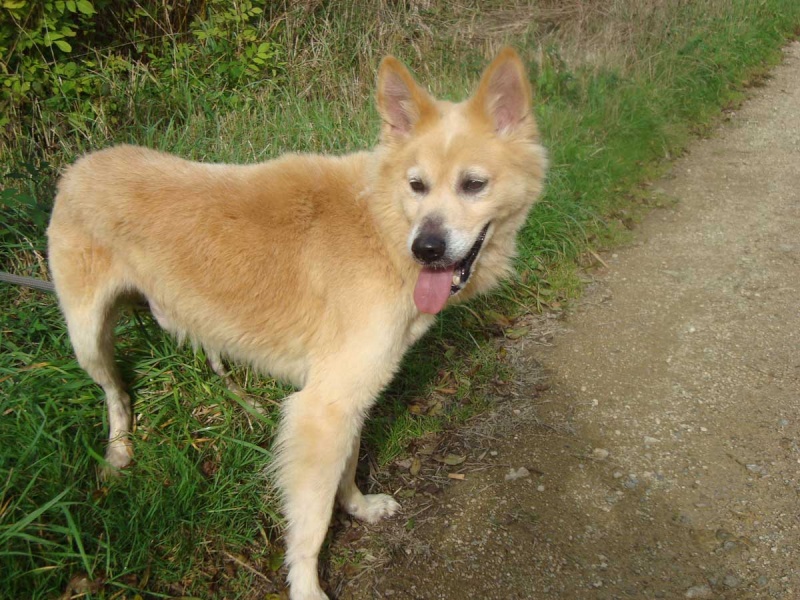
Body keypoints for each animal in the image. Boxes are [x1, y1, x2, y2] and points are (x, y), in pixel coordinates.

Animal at [47, 49, 548, 596]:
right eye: (416, 185)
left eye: (473, 184)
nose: (427, 249)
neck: (382, 228)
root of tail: (77, 167)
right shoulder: (321, 409)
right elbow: (311, 519)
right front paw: (307, 584)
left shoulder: (349, 397)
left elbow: (346, 471)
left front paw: (359, 508)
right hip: (87, 336)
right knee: (114, 392)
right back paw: (118, 452)